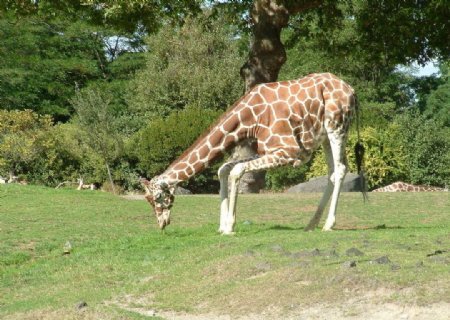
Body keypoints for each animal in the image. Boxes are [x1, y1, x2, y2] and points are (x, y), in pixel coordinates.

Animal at [142, 72, 366, 232]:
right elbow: (223, 170)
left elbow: (236, 171)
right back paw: (311, 224)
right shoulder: (264, 150)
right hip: (325, 136)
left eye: (159, 197)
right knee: (332, 172)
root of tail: (352, 90)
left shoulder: (290, 152)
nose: (162, 224)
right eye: (148, 200)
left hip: (337, 127)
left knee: (340, 168)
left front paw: (229, 226)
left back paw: (328, 225)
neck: (249, 119)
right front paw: (222, 226)